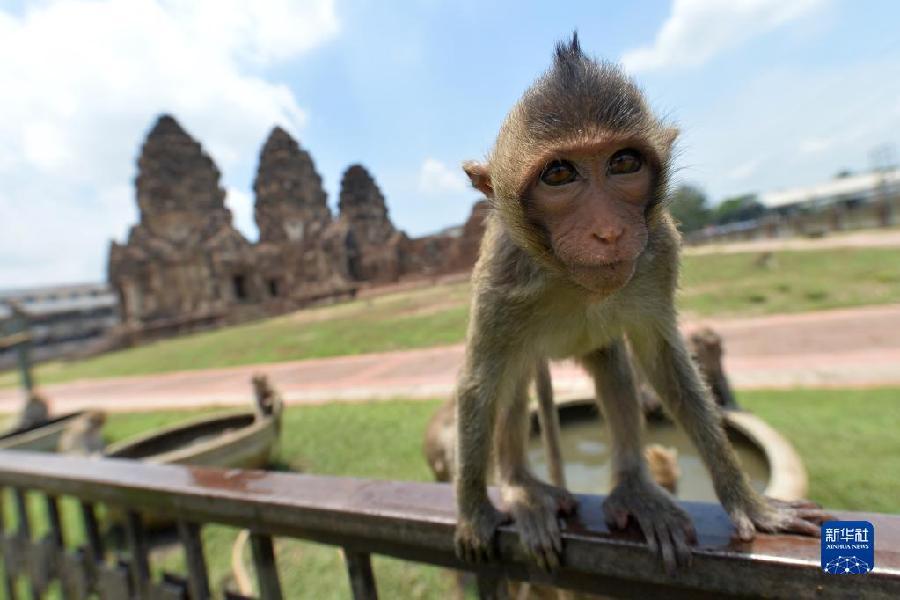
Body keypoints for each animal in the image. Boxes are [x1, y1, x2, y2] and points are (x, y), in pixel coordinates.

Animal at [454, 34, 828, 576]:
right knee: (512, 382)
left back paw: (635, 490)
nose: (608, 230)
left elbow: (663, 361)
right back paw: (523, 487)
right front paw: (474, 513)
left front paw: (748, 501)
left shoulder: (660, 250)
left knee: (615, 369)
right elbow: (480, 384)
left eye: (624, 163)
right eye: (559, 173)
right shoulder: (504, 277)